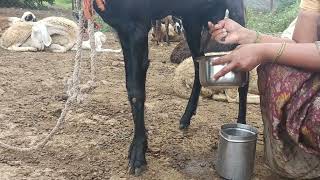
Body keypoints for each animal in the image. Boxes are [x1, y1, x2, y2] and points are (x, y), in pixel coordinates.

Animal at [93, 0, 248, 175]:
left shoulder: (137, 27)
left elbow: (136, 91)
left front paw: (138, 153)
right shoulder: (122, 29)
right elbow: (130, 87)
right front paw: (136, 147)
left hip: (234, 16)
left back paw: (241, 124)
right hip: (193, 21)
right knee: (198, 64)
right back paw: (186, 116)